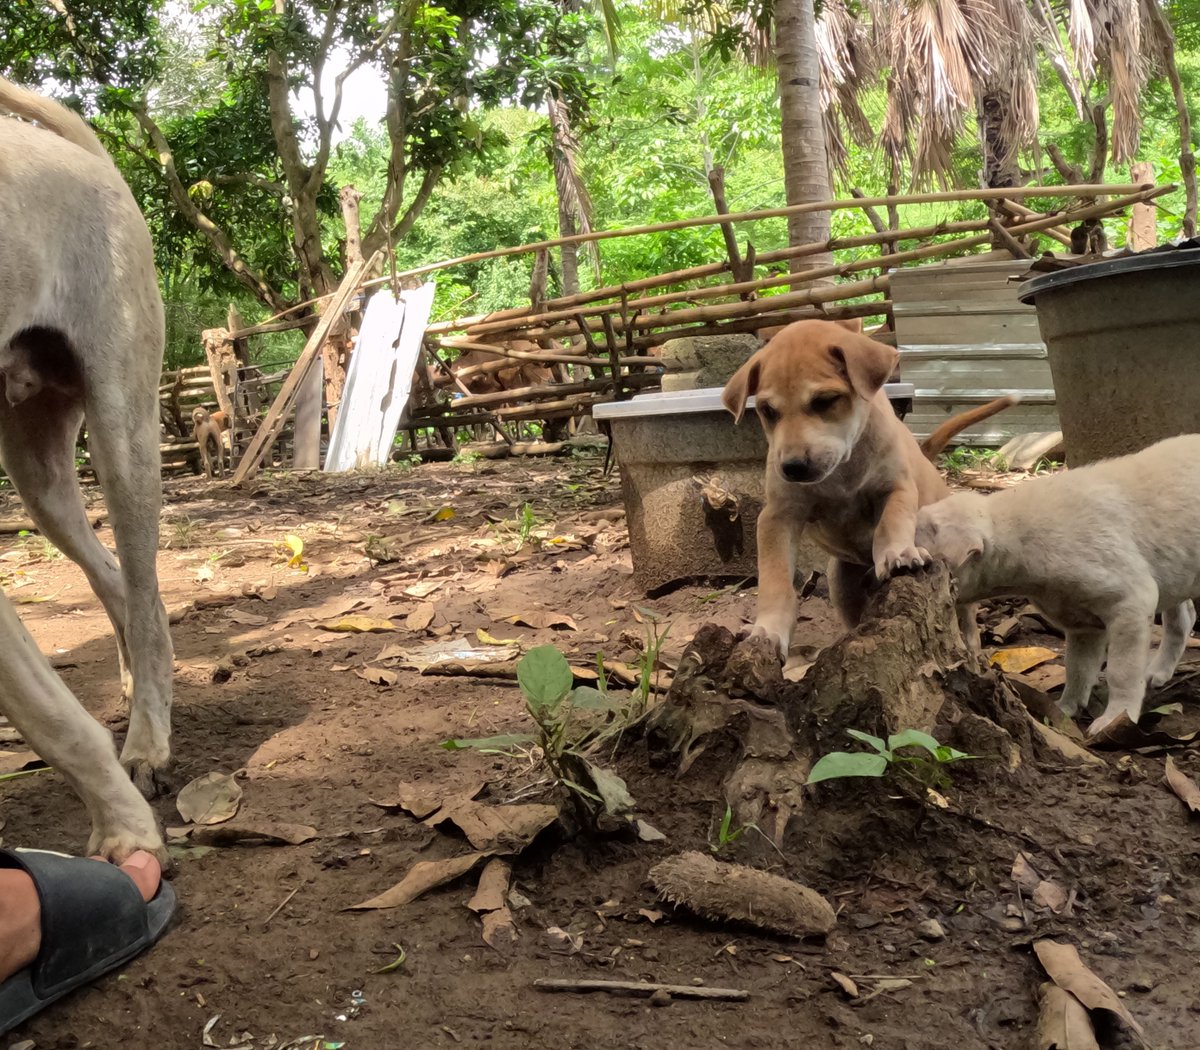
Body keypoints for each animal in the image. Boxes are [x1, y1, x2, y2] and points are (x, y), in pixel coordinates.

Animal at [724, 316, 1017, 662]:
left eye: (824, 401)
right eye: (768, 411)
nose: (792, 467)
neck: (843, 469)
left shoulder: (896, 488)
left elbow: (891, 522)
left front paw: (898, 554)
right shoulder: (778, 516)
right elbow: (775, 579)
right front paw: (768, 630)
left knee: (966, 614)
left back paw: (971, 647)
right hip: (840, 581)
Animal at [912, 432, 1200, 734]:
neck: (1016, 533)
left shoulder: (1130, 602)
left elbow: (1121, 670)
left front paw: (1114, 718)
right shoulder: (1081, 621)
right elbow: (1077, 667)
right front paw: (1064, 710)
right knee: (1183, 617)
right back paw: (1158, 672)